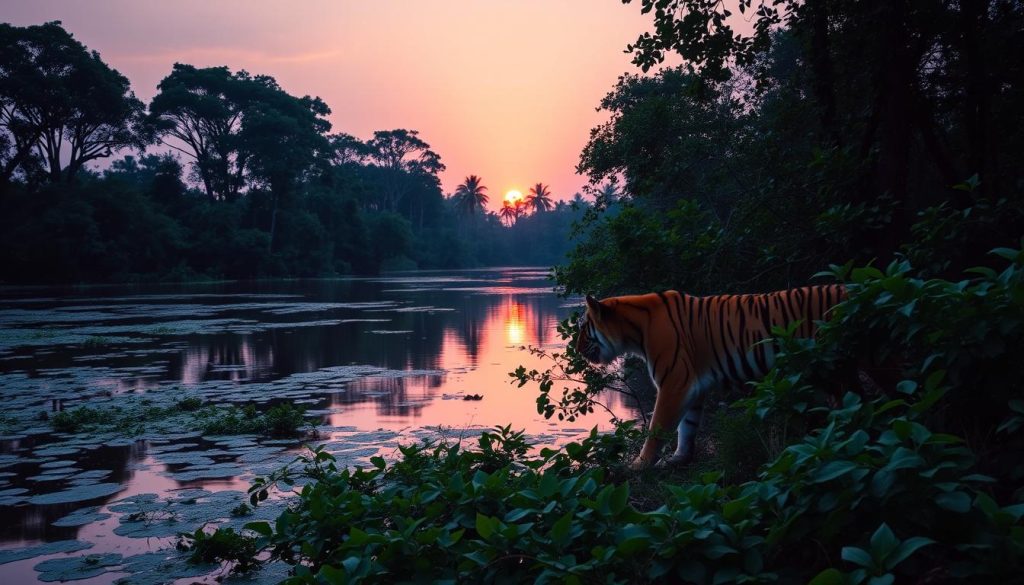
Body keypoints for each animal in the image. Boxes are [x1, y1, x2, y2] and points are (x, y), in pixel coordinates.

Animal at [576, 285, 846, 470]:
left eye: (583, 328)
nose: (577, 349)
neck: (635, 333)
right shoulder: (692, 385)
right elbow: (687, 426)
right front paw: (679, 458)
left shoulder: (674, 383)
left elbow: (658, 428)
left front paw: (638, 466)